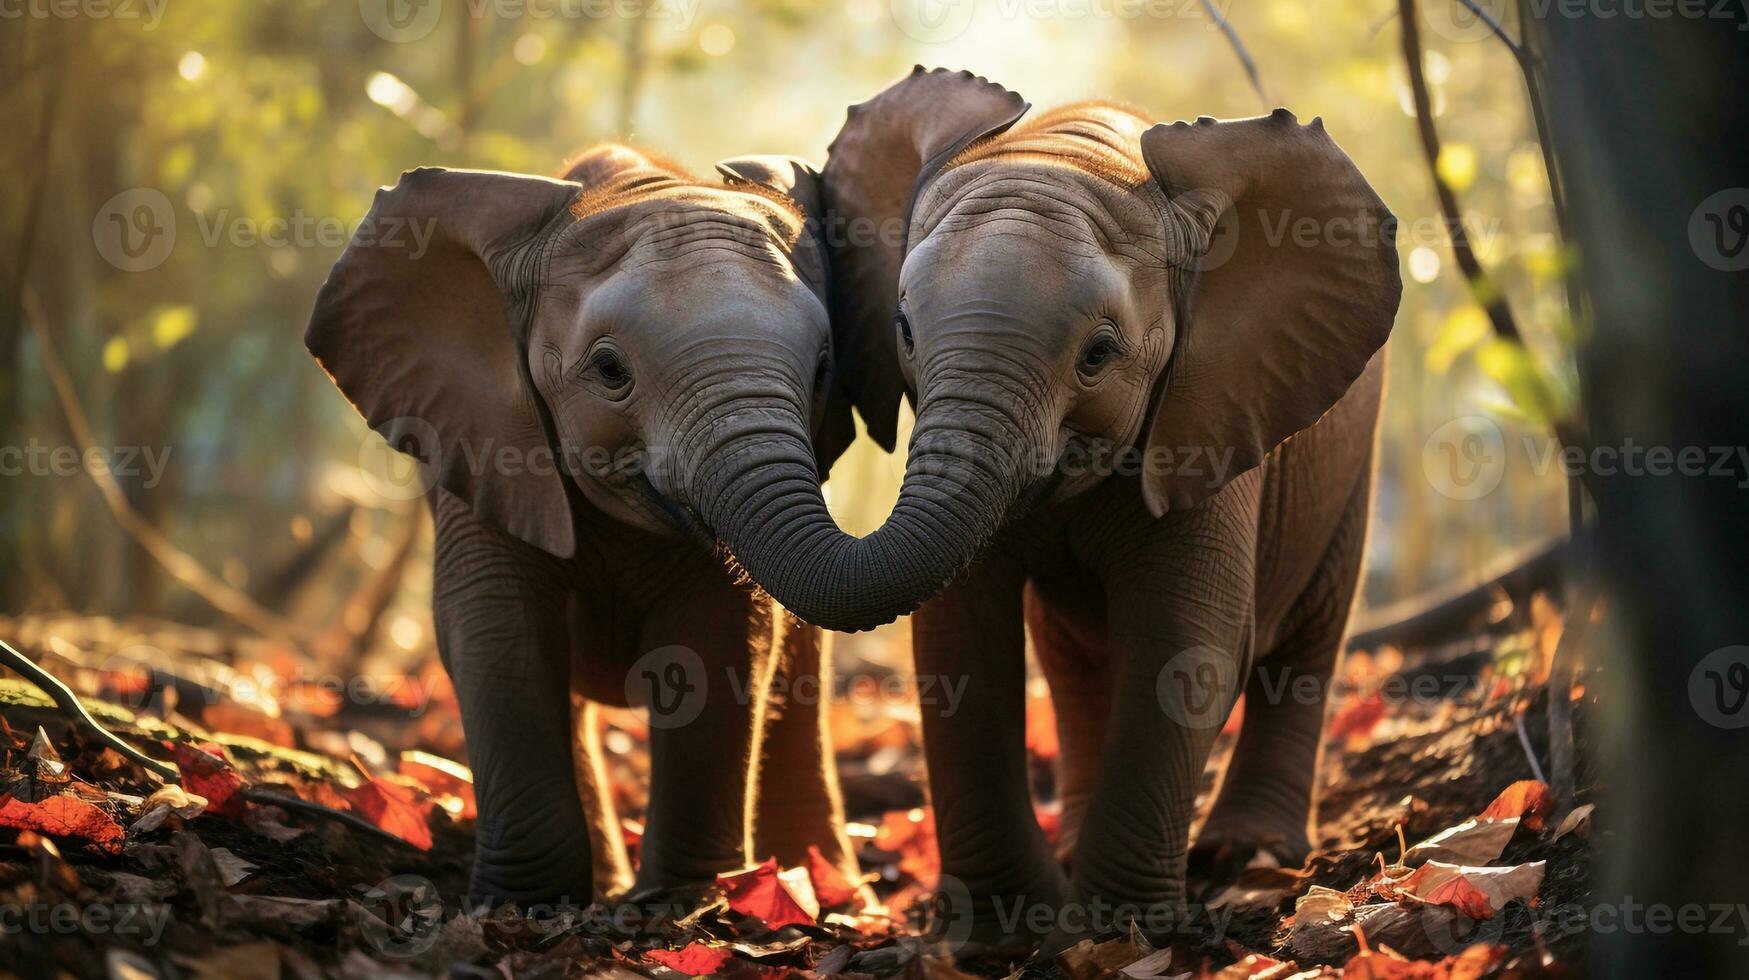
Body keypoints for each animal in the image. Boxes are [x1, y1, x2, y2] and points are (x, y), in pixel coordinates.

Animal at [311, 143, 864, 903]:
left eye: (822, 371)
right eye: (608, 370)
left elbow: (722, 643)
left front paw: (680, 905)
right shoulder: (482, 446)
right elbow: (496, 630)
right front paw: (526, 905)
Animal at [703, 70, 1399, 959]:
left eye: (1099, 354)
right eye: (902, 327)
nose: (747, 170)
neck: (1076, 148)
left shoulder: (1203, 414)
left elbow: (1187, 643)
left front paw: (1111, 940)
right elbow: (960, 642)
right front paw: (1003, 937)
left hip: (1347, 460)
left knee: (1308, 634)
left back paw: (1248, 855)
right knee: (1075, 664)